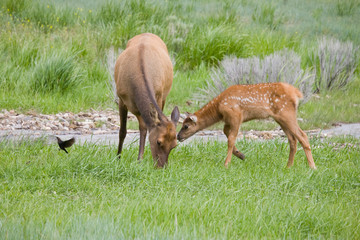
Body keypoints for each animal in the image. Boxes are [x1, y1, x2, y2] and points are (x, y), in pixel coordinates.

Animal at [114, 33, 179, 169]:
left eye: (174, 145)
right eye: (158, 142)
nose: (161, 167)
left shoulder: (159, 95)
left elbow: (144, 128)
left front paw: (140, 159)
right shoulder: (121, 98)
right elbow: (122, 131)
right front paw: (118, 158)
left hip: (163, 97)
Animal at [177, 82, 316, 169]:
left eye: (186, 126)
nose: (178, 136)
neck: (218, 109)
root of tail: (296, 93)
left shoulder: (235, 115)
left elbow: (231, 139)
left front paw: (226, 164)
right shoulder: (228, 120)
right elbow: (226, 133)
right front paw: (240, 154)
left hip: (286, 113)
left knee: (303, 136)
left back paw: (312, 167)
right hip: (280, 118)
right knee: (292, 139)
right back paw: (288, 166)